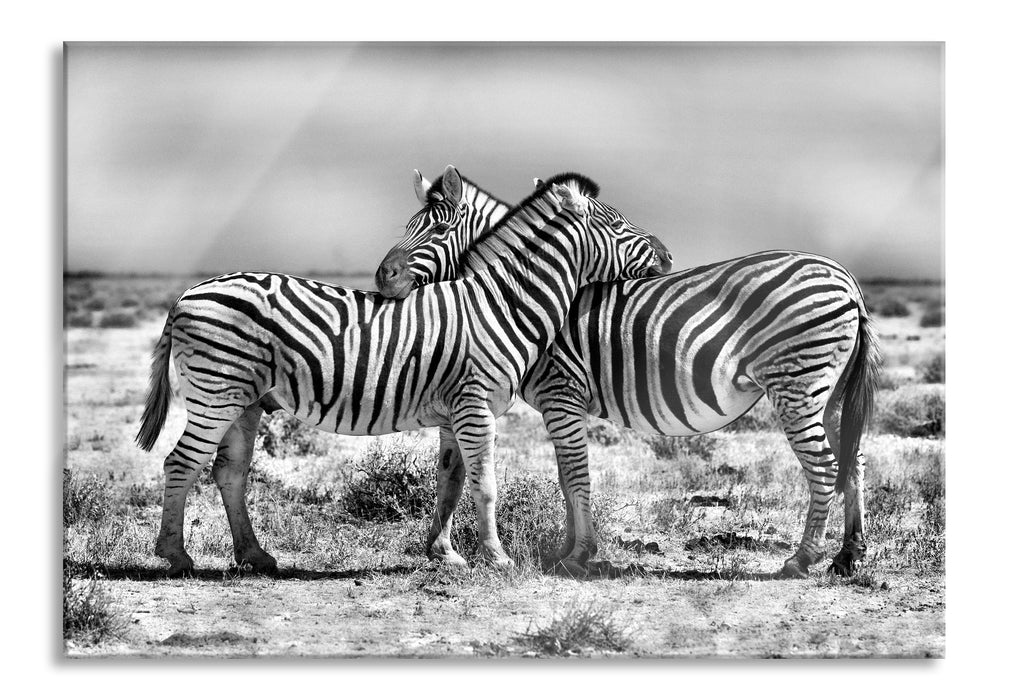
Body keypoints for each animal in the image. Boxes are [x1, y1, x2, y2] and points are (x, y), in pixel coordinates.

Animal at [136, 167, 671, 576]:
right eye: (618, 224)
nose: (667, 256)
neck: (503, 303)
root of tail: (186, 295)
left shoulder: (456, 411)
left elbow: (451, 481)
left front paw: (446, 554)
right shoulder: (475, 405)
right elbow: (486, 483)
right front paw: (496, 558)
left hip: (244, 400)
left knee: (228, 471)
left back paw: (255, 555)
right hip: (216, 391)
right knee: (180, 463)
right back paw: (176, 556)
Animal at [375, 171, 880, 579]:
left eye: (438, 229)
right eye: (407, 227)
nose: (383, 277)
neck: (516, 293)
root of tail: (847, 279)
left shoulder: (561, 392)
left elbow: (575, 474)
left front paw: (578, 554)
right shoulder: (561, 403)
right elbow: (565, 477)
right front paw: (568, 550)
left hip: (796, 384)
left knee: (825, 465)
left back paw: (803, 559)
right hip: (827, 389)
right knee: (852, 459)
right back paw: (847, 556)